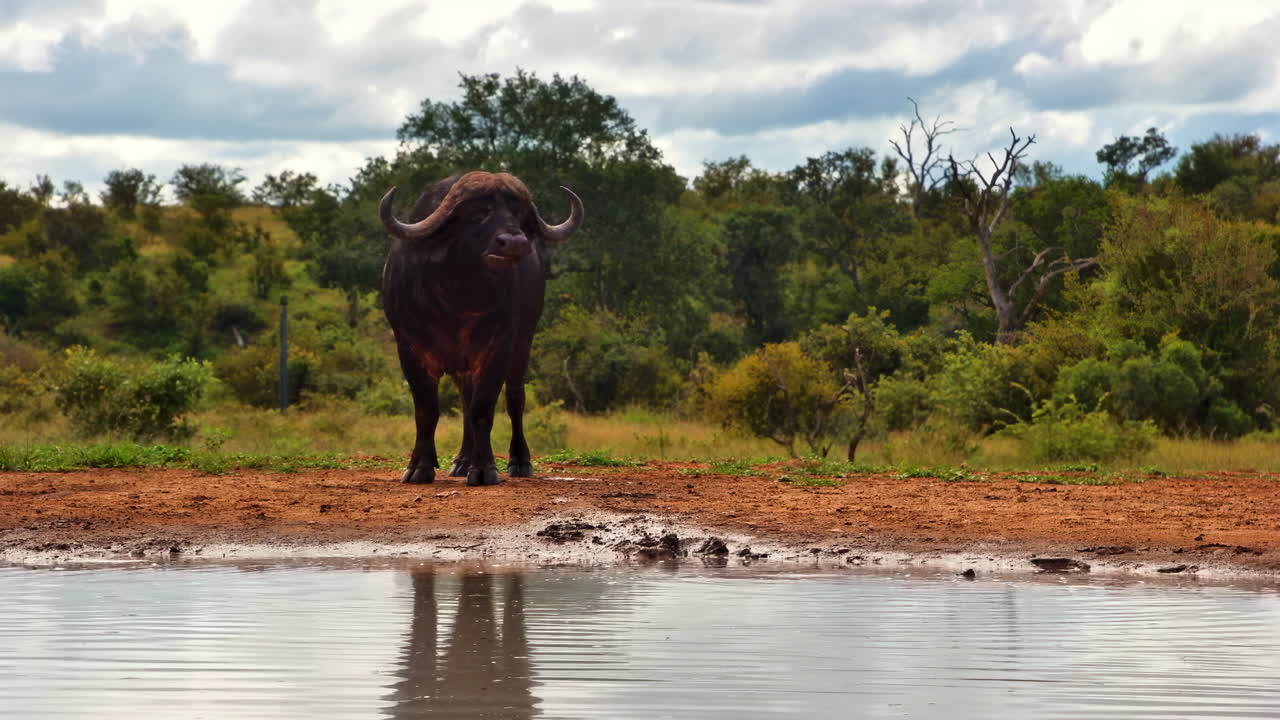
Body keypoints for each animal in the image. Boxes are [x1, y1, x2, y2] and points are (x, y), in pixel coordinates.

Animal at [379, 171, 583, 486]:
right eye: (477, 214)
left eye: (518, 214)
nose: (514, 242)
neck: (457, 299)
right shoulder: (409, 349)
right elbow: (427, 411)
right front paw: (419, 467)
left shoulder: (497, 348)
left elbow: (483, 409)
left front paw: (485, 469)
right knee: (464, 401)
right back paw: (462, 461)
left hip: (523, 343)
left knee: (513, 399)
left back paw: (518, 461)